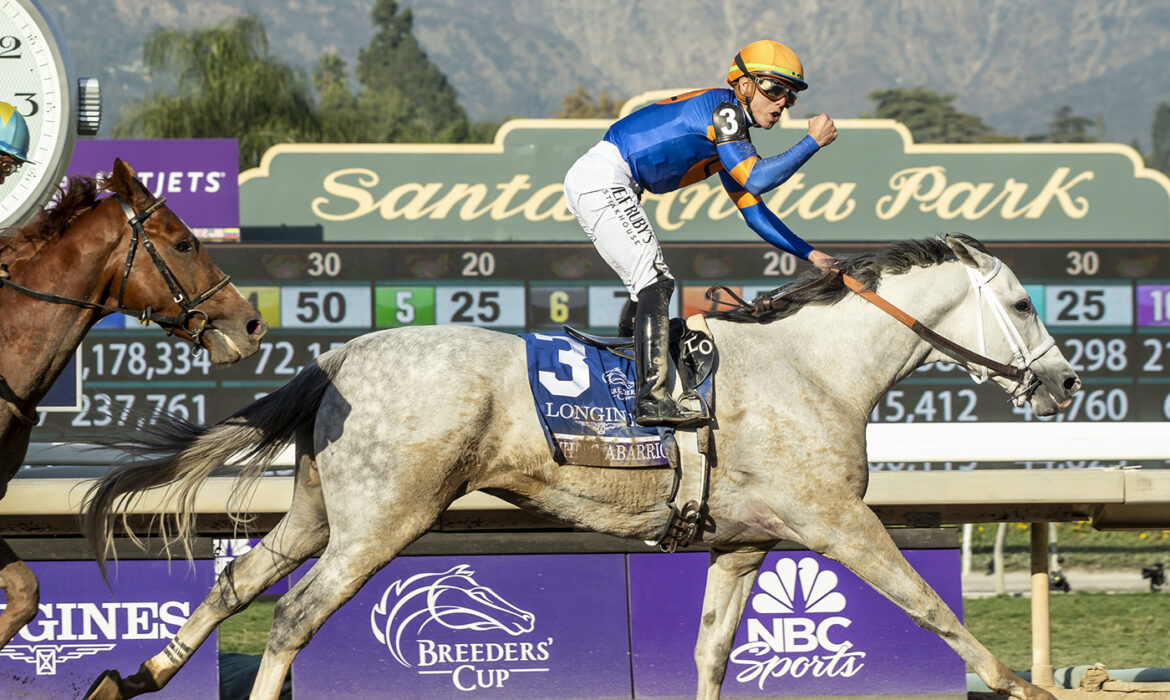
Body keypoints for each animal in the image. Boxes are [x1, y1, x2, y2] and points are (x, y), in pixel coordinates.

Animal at [82, 236, 1076, 700]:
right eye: (1024, 302)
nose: (1066, 381)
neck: (817, 369)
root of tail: (338, 355)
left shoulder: (743, 545)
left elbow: (712, 651)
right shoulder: (837, 522)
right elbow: (931, 606)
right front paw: (1019, 682)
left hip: (324, 511)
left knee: (239, 584)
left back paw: (136, 675)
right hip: (387, 519)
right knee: (293, 616)